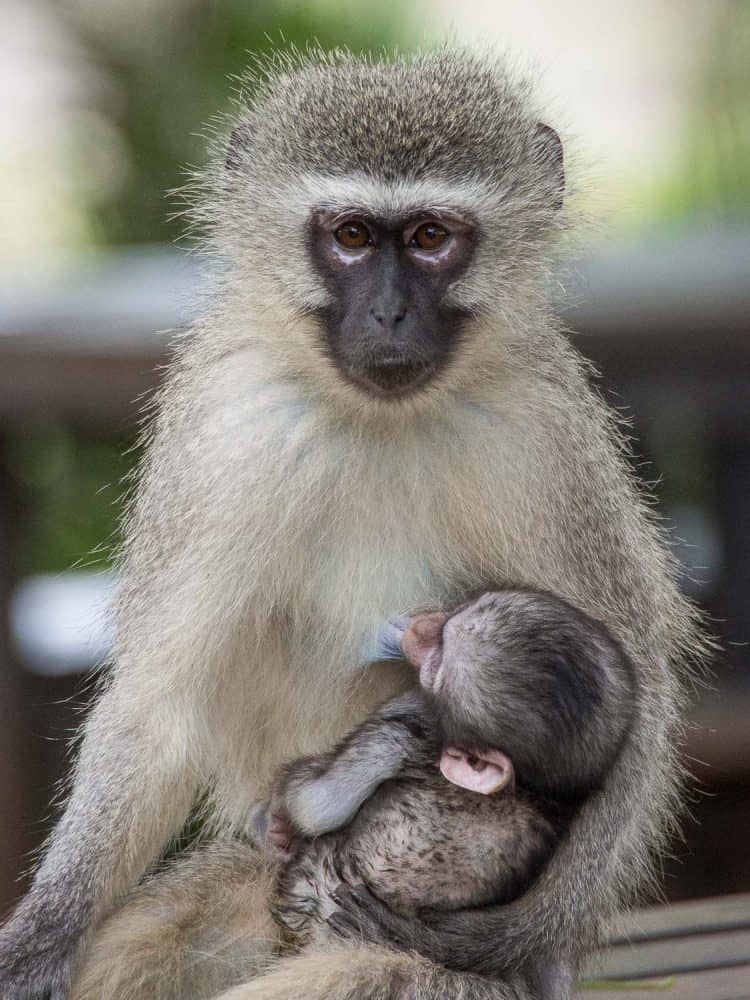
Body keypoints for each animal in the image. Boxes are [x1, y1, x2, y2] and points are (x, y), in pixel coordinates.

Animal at [70, 592, 636, 1000]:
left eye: (440, 656)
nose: (423, 628)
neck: (523, 789)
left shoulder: (410, 724)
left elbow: (318, 804)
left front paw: (280, 817)